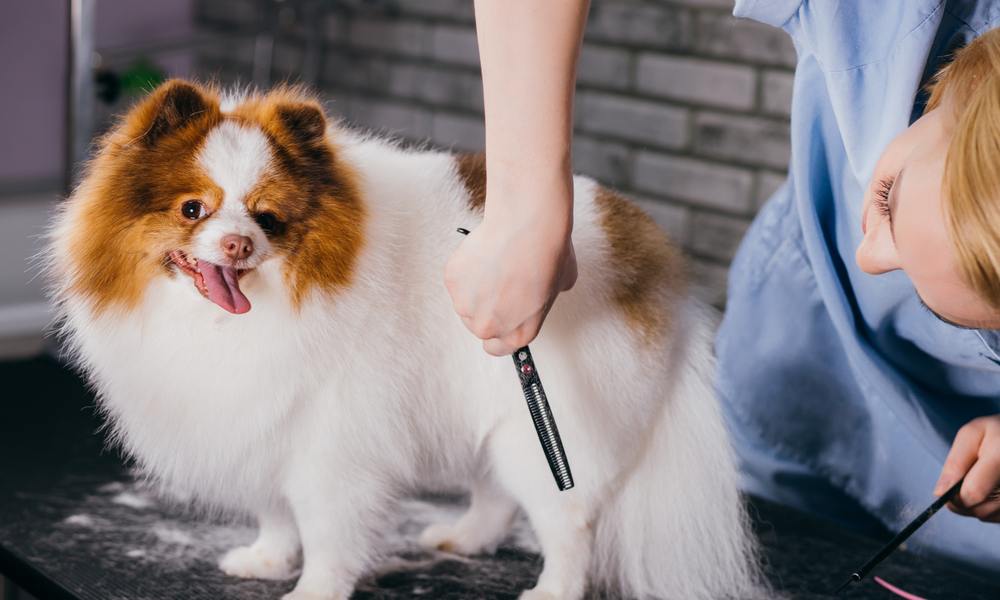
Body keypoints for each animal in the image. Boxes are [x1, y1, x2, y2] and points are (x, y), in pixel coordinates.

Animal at [47, 81, 760, 600]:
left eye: (267, 218)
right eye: (192, 208)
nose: (238, 244)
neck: (228, 324)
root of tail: (652, 255)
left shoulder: (333, 443)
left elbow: (327, 530)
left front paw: (313, 591)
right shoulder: (265, 421)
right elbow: (274, 509)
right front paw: (268, 559)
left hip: (549, 424)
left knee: (571, 520)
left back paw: (553, 590)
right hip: (496, 405)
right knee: (496, 493)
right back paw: (463, 539)